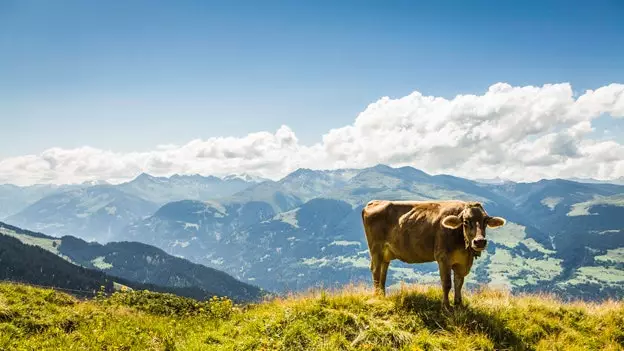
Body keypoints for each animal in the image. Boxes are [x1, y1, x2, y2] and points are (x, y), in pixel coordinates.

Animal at [364, 201, 504, 310]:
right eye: (466, 221)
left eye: (485, 221)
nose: (480, 241)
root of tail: (373, 202)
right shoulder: (443, 258)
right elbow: (447, 283)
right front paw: (446, 306)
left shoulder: (461, 262)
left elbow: (459, 283)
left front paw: (459, 304)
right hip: (376, 249)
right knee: (376, 271)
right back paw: (377, 297)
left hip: (385, 254)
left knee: (383, 272)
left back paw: (382, 295)